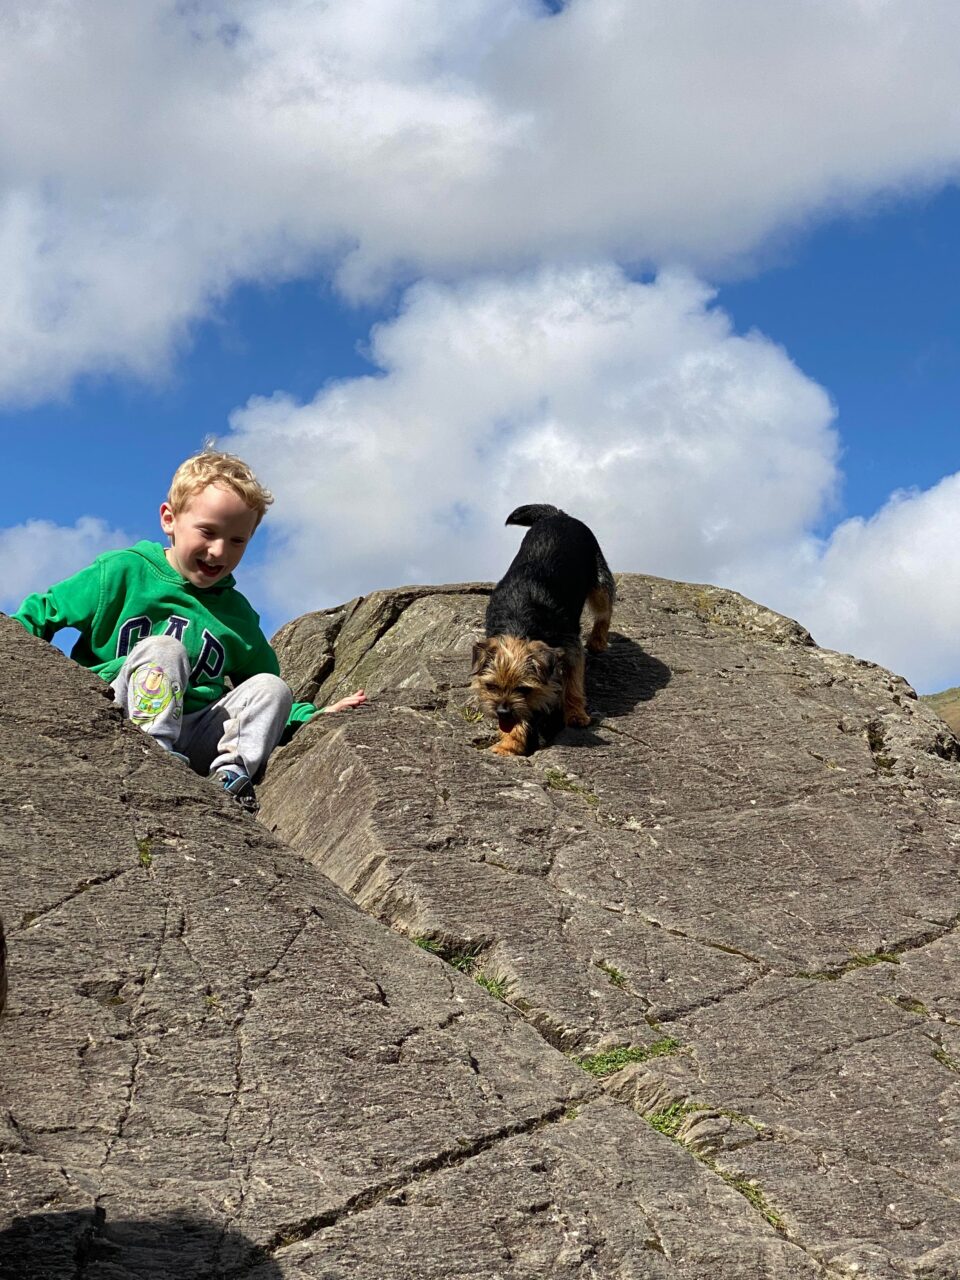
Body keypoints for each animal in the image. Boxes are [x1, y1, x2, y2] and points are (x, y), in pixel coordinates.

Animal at [471, 504, 616, 752]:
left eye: (524, 689)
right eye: (491, 686)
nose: (502, 711)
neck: (519, 624)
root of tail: (557, 515)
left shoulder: (571, 648)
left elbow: (573, 684)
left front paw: (576, 714)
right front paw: (509, 743)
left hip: (599, 579)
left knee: (605, 609)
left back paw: (597, 640)